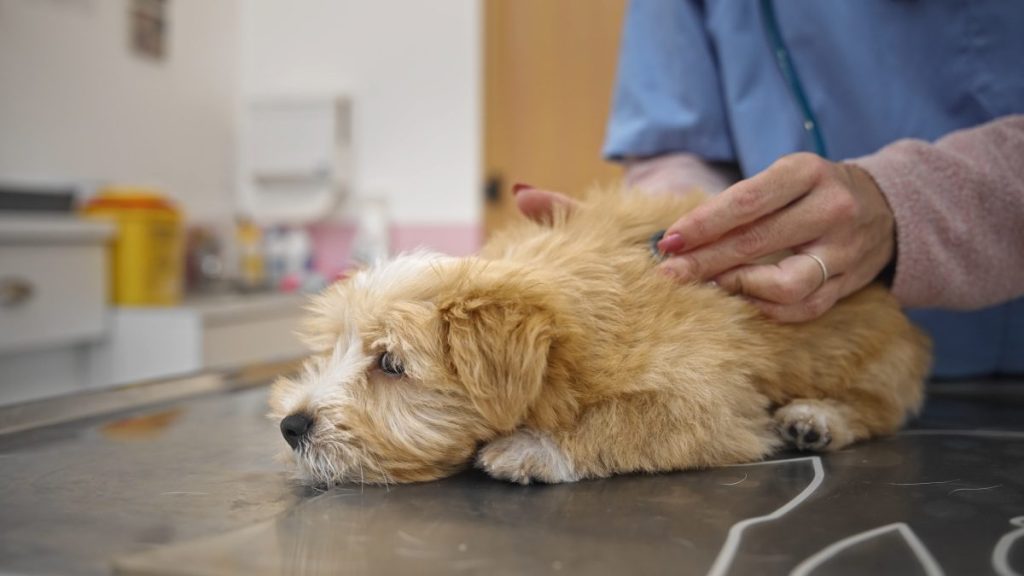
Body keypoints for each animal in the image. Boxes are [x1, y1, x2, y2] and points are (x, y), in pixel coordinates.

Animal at [268, 190, 933, 481]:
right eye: (331, 350)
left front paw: (536, 447)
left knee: (883, 405)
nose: (291, 426)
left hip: (864, 355)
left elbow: (626, 418)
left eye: (390, 364)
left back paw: (819, 418)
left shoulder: (712, 404)